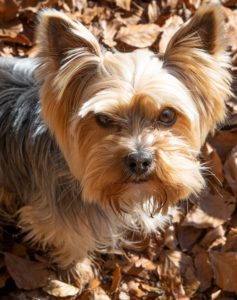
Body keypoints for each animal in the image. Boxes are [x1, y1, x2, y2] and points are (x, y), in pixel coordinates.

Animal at [0, 4, 232, 276]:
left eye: (167, 115)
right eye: (103, 119)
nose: (139, 160)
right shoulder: (58, 220)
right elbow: (72, 243)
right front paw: (79, 272)